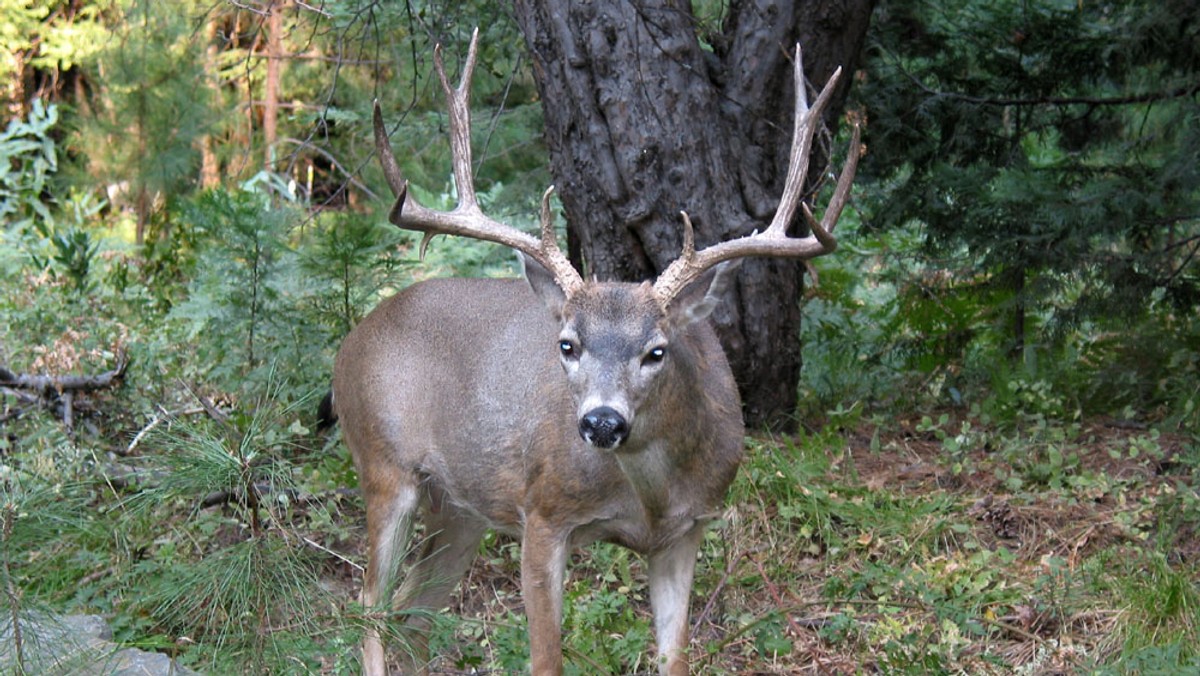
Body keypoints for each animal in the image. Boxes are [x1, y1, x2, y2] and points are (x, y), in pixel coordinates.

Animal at [324, 27, 859, 676]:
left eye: (656, 351)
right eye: (568, 344)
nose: (602, 422)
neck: (650, 496)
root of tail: (353, 340)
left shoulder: (687, 532)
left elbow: (675, 659)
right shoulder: (541, 514)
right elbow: (545, 659)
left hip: (459, 509)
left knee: (412, 612)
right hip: (384, 466)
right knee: (368, 608)